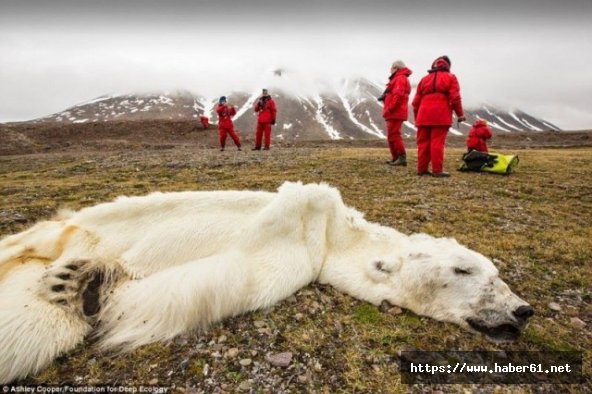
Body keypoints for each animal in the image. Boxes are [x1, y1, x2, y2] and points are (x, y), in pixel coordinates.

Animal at [0, 182, 532, 382]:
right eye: (464, 269)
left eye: (496, 273)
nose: (522, 310)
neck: (332, 234)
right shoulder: (300, 228)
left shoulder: (295, 259)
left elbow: (205, 282)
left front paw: (89, 287)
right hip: (71, 226)